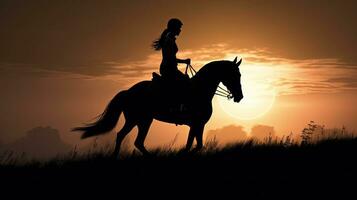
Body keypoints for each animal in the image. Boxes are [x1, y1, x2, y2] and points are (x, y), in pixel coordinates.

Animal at [73, 56, 243, 156]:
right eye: (236, 74)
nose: (239, 97)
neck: (200, 90)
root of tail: (128, 91)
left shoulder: (197, 125)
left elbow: (195, 145)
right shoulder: (196, 124)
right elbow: (193, 145)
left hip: (140, 121)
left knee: (130, 139)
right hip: (139, 120)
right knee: (129, 138)